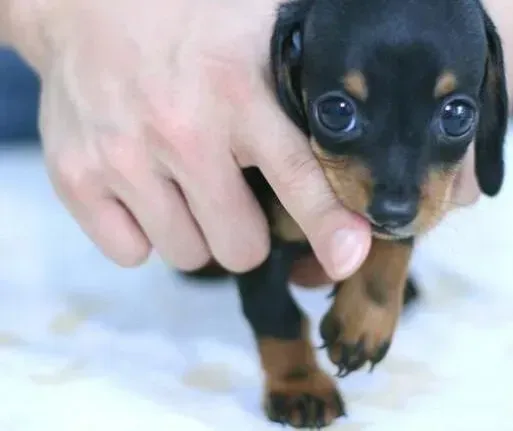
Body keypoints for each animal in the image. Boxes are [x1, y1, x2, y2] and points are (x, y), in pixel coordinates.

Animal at [235, 0, 508, 428]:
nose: (393, 212)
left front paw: (363, 320)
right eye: (336, 111)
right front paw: (300, 386)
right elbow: (275, 312)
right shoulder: (256, 237)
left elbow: (391, 248)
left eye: (457, 116)